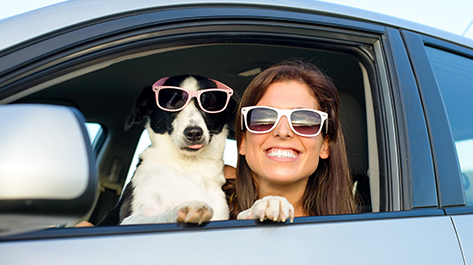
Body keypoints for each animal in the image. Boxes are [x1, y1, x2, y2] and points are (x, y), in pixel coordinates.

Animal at [100, 74, 240, 225]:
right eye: (172, 102)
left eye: (208, 102)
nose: (194, 133)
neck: (189, 166)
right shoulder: (130, 218)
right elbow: (159, 217)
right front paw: (186, 209)